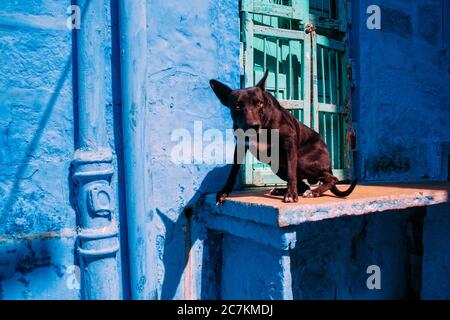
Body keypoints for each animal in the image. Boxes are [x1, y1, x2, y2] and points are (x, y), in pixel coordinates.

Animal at [209, 71, 356, 204]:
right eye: (238, 106)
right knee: (304, 185)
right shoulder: (240, 145)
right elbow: (232, 172)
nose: (253, 125)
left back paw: (314, 192)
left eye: (259, 104)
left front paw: (290, 195)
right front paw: (224, 192)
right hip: (277, 166)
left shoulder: (289, 142)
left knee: (331, 178)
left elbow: (291, 173)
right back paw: (282, 190)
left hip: (302, 161)